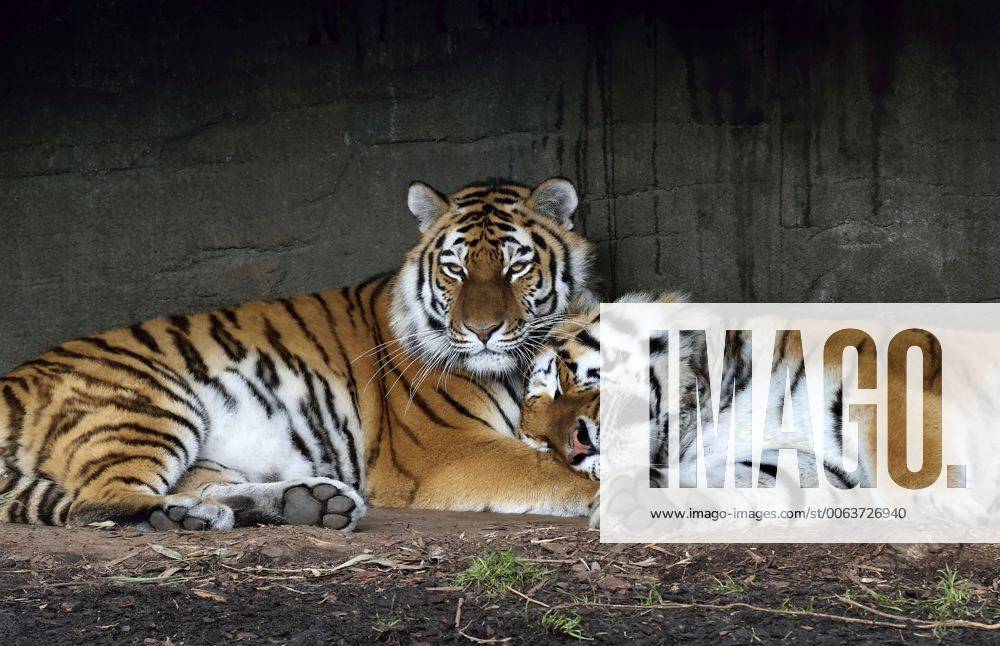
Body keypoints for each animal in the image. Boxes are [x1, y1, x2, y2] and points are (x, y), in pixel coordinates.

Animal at [0, 177, 600, 531]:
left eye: (516, 266)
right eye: (454, 268)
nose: (481, 330)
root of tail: (9, 380)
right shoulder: (450, 451)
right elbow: (555, 471)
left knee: (200, 483)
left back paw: (305, 502)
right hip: (151, 404)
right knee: (96, 502)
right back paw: (192, 518)